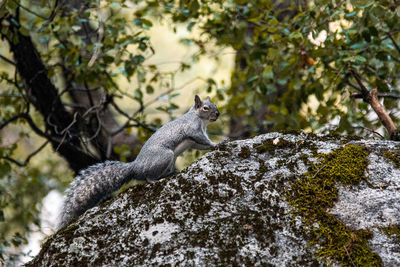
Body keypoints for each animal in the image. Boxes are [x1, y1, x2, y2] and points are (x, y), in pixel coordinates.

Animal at [58, 96, 223, 230]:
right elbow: (202, 139)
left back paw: (171, 173)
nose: (217, 114)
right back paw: (159, 178)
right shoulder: (193, 129)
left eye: (214, 104)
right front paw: (217, 143)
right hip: (165, 156)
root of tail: (135, 167)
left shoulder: (195, 140)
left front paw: (216, 144)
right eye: (205, 108)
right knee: (148, 177)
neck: (198, 118)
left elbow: (201, 145)